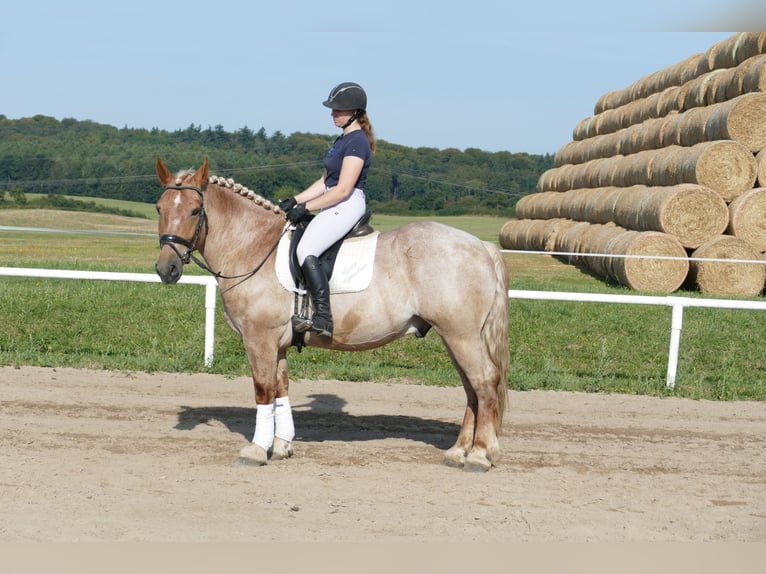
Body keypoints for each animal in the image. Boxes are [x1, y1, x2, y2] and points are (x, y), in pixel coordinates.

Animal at [153, 156, 510, 472]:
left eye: (195, 210)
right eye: (159, 208)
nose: (166, 269)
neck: (253, 246)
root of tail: (481, 245)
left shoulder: (260, 338)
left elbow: (263, 389)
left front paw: (255, 450)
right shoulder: (278, 343)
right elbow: (281, 387)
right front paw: (281, 446)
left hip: (460, 335)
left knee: (483, 381)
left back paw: (479, 455)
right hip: (455, 337)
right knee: (471, 387)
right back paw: (458, 452)